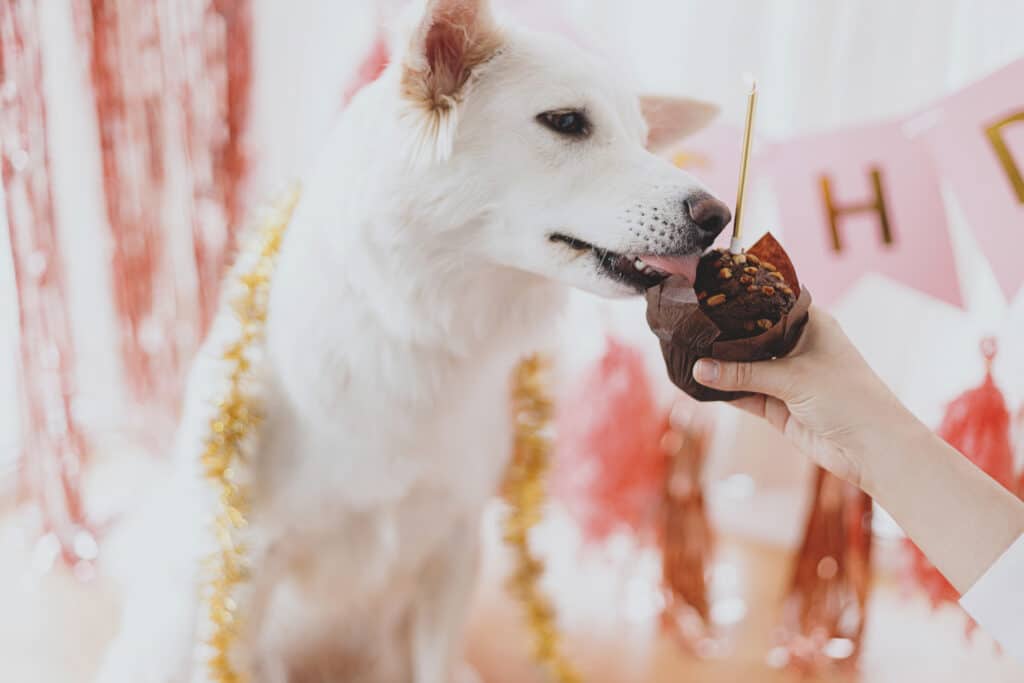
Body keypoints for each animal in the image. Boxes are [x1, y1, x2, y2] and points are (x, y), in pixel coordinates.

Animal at [96, 1, 733, 683]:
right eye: (566, 122)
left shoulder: (452, 546)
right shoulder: (247, 570)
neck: (418, 329)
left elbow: (436, 659)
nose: (717, 217)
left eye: (643, 140)